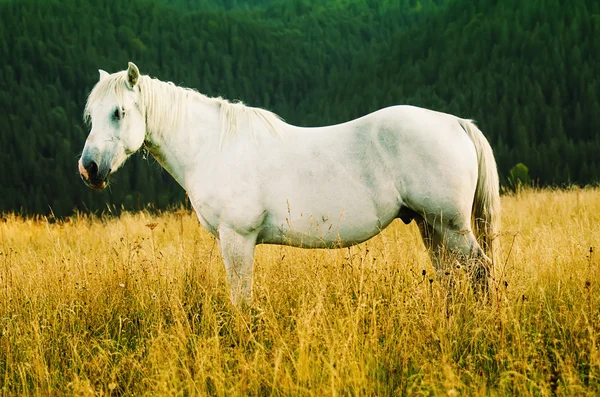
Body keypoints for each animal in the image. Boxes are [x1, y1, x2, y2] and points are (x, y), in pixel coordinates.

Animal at [79, 62, 502, 304]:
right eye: (90, 114)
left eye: (119, 112)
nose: (89, 169)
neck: (214, 145)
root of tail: (455, 122)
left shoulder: (237, 239)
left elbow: (241, 299)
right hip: (432, 227)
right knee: (452, 278)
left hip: (452, 227)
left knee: (481, 273)